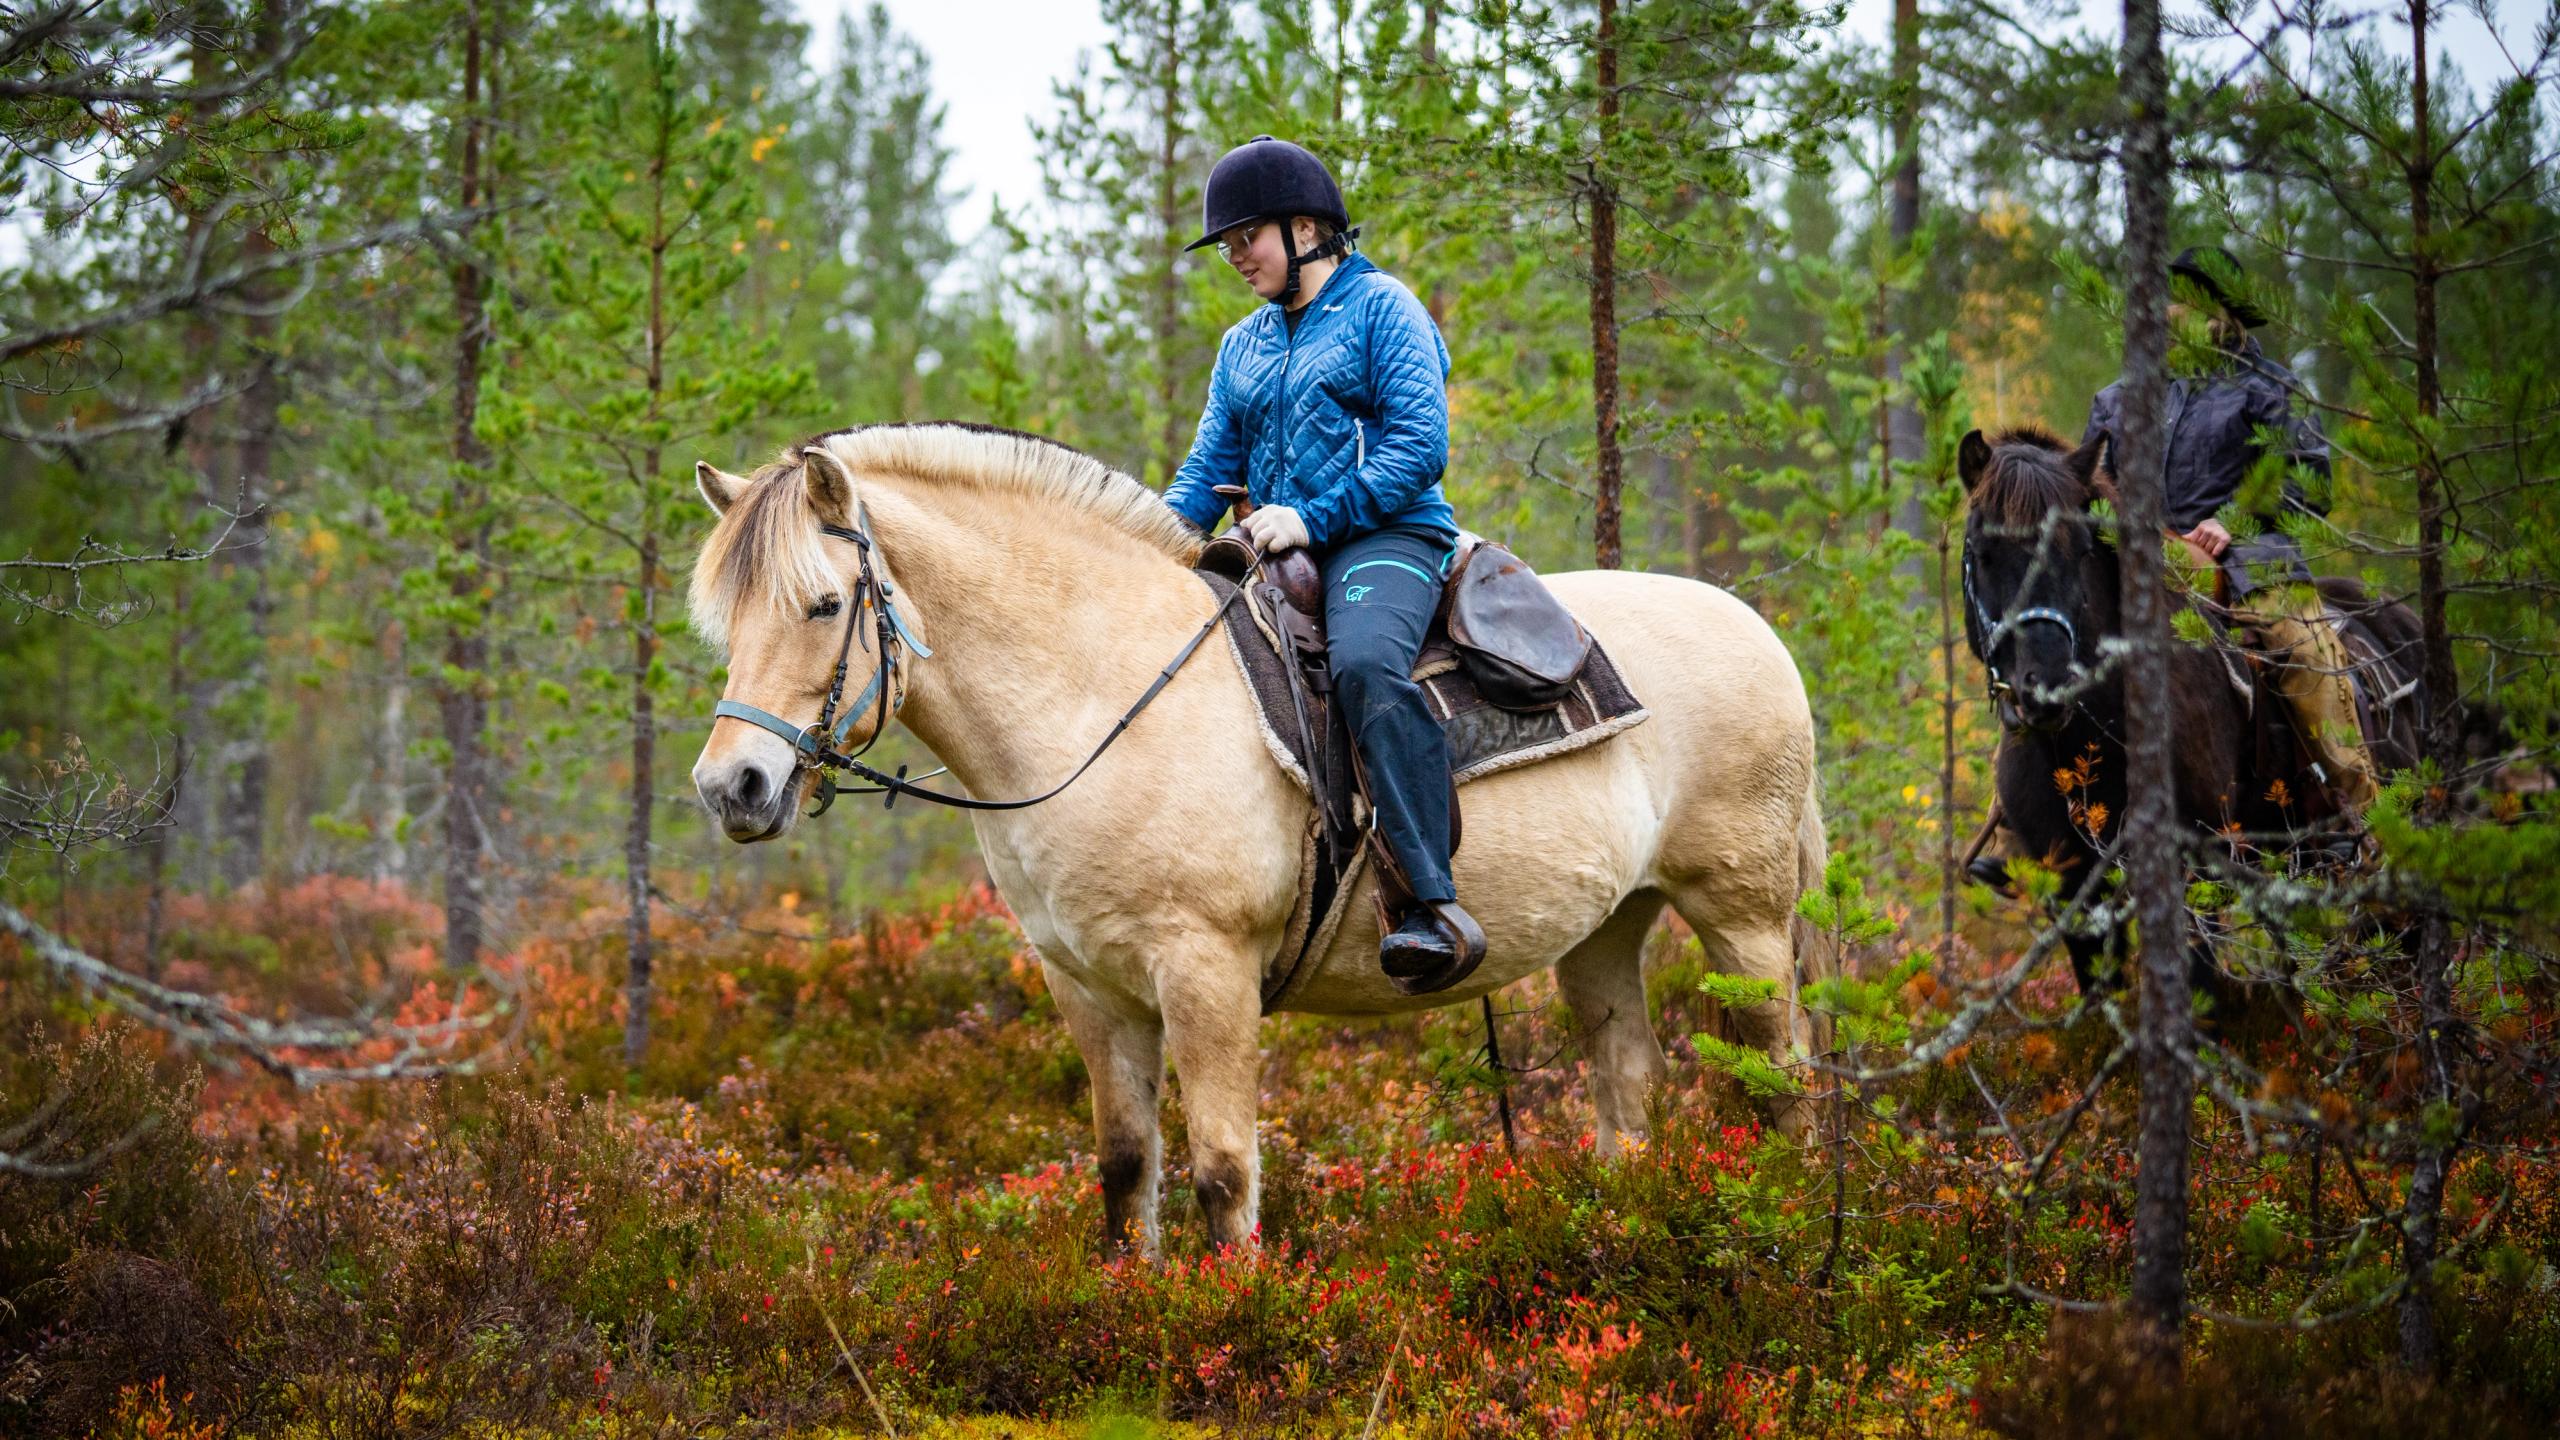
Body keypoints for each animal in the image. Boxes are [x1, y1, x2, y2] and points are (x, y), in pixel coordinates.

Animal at [685, 423, 1833, 1256]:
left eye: (821, 605)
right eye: (726, 623)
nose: (731, 787)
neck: (1103, 693)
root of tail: (1759, 630)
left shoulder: (1207, 973)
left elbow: (1223, 1172)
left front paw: (1239, 1316)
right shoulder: (1088, 987)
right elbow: (1126, 1170)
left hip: (1742, 917)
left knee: (1786, 1084)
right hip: (1604, 931)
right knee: (1626, 1079)